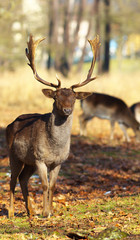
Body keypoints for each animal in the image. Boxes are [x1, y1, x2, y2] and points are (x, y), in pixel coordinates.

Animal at [6, 35, 100, 218]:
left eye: (74, 98)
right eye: (56, 97)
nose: (67, 110)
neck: (55, 147)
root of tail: (10, 124)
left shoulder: (59, 161)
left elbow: (53, 185)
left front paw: (50, 211)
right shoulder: (40, 158)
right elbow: (44, 185)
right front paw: (45, 212)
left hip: (29, 162)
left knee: (23, 178)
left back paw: (30, 211)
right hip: (14, 154)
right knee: (12, 179)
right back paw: (12, 212)